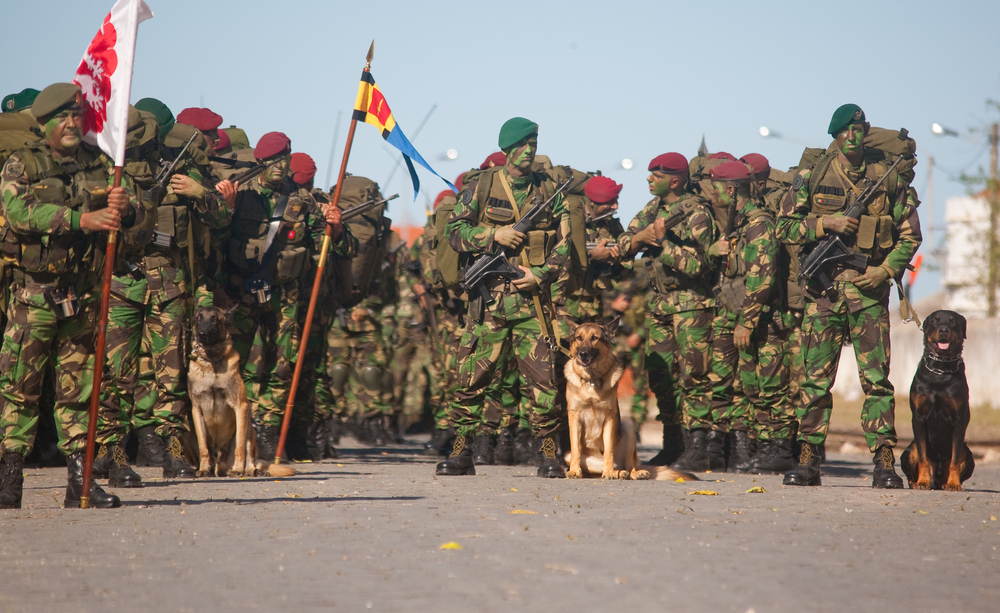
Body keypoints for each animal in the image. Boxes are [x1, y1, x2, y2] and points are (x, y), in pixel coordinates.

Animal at [188, 306, 294, 478]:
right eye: (199, 318)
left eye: (214, 319)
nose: (201, 333)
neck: (212, 361)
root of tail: (220, 465)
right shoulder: (196, 409)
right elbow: (203, 446)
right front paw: (203, 469)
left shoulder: (241, 407)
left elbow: (239, 445)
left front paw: (238, 469)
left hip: (250, 429)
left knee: (250, 459)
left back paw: (253, 471)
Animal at [904, 308, 972, 490]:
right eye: (934, 321)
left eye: (953, 321)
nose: (943, 330)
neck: (940, 370)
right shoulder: (918, 417)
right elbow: (923, 457)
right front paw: (922, 481)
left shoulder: (959, 419)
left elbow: (955, 459)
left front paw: (953, 484)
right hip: (909, 449)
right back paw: (917, 482)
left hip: (969, 454)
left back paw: (947, 483)